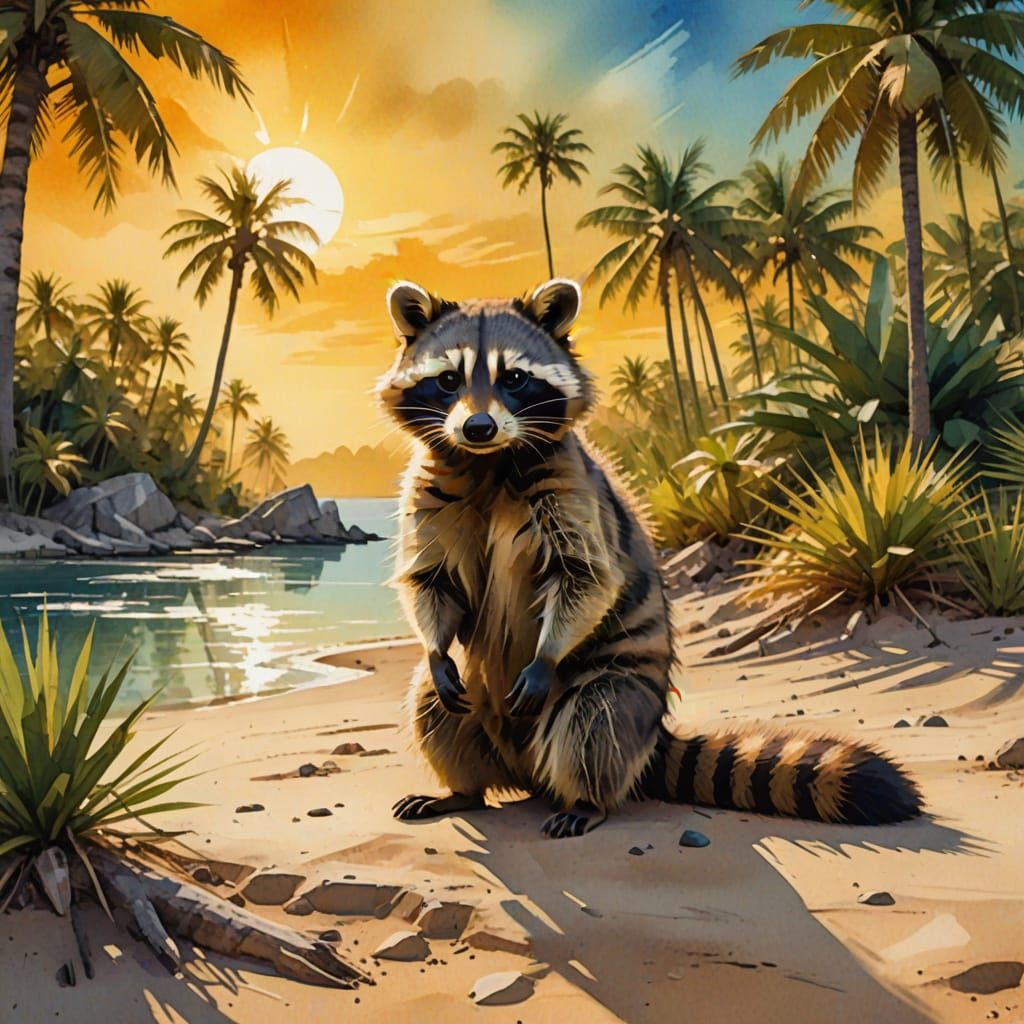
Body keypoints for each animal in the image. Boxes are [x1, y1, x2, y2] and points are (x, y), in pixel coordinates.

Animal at [379, 278, 922, 839]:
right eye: (448, 380)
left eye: (514, 378)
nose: (479, 427)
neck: (487, 463)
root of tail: (524, 769)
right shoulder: (432, 489)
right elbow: (430, 579)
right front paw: (435, 644)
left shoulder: (571, 489)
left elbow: (587, 577)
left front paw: (546, 654)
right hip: (476, 692)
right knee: (433, 706)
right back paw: (462, 790)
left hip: (618, 685)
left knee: (595, 723)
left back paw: (585, 799)